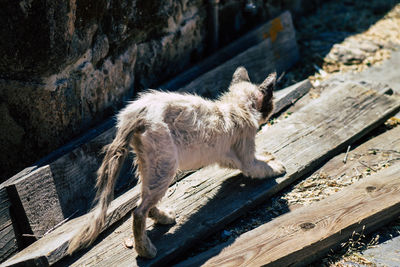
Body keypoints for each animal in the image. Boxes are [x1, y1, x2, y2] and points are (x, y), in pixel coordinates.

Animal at [69, 67, 288, 260]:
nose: (272, 107)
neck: (235, 107)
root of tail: (137, 112)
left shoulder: (227, 157)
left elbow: (258, 160)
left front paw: (268, 156)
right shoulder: (246, 159)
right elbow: (261, 167)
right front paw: (277, 166)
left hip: (150, 164)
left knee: (142, 200)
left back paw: (164, 218)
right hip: (166, 165)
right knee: (138, 211)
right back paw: (146, 251)